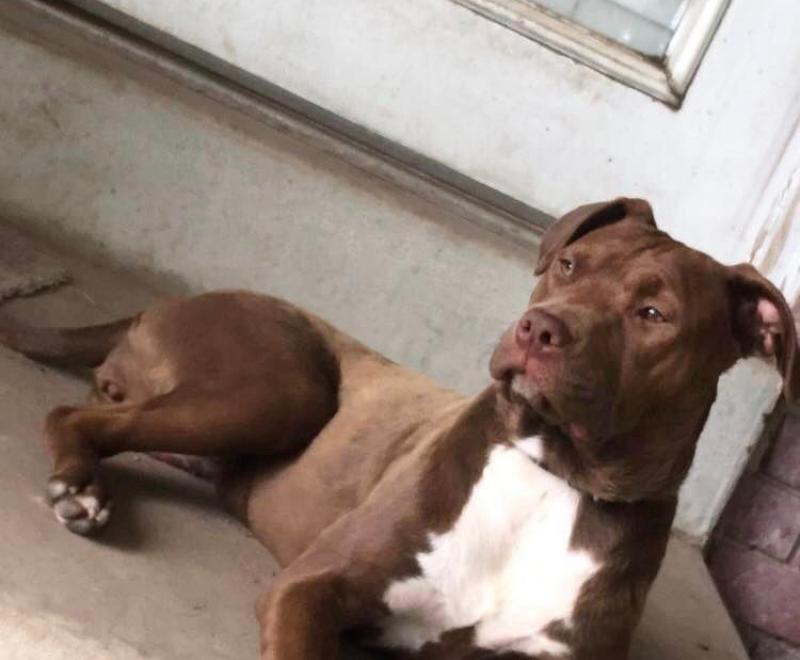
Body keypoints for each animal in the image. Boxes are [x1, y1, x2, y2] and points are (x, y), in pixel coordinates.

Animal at [1, 197, 800, 660]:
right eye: (570, 265)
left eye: (654, 314)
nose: (539, 329)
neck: (553, 473)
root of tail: (166, 304)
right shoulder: (310, 590)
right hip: (283, 386)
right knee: (76, 413)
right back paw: (80, 488)